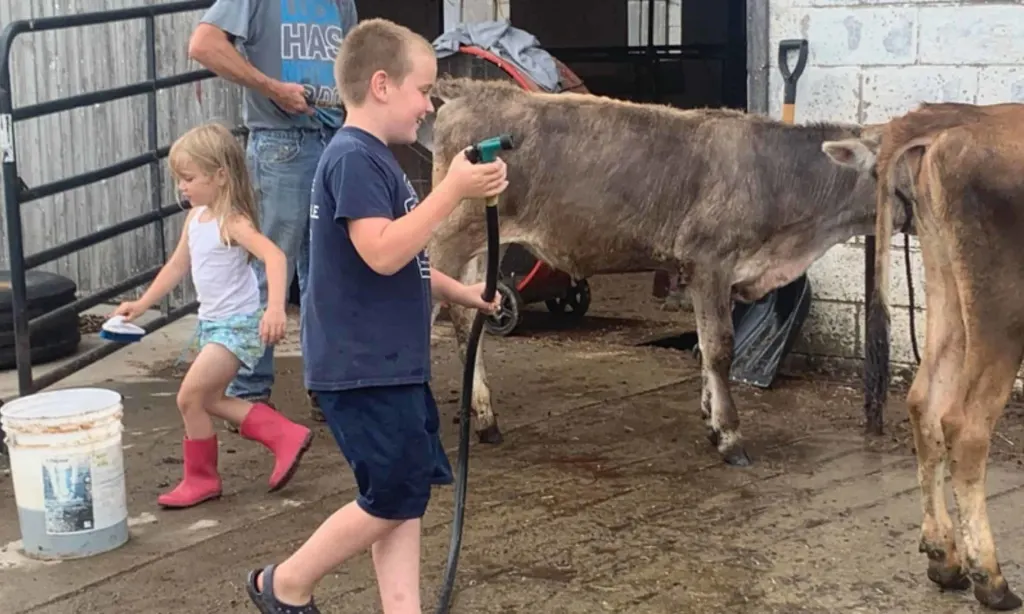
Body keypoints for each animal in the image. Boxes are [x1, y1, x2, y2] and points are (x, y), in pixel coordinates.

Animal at [425, 75, 905, 464]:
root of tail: (469, 93)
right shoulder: (709, 260)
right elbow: (720, 347)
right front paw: (730, 437)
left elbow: (706, 347)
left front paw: (712, 421)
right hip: (448, 236)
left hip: (485, 245)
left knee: (468, 315)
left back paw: (485, 419)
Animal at [823, 103, 1024, 609]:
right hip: (1003, 307)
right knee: (965, 427)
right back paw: (990, 580)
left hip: (945, 280)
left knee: (923, 401)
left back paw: (944, 558)